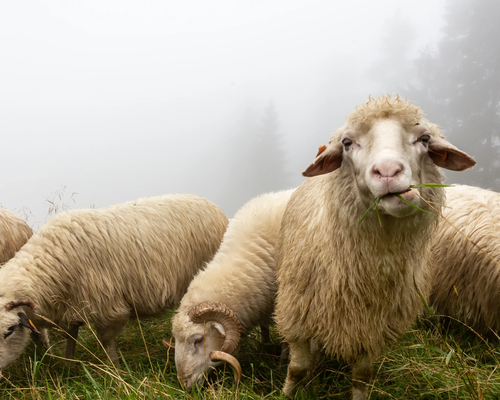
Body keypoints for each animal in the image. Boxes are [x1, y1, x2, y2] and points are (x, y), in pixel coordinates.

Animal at [0, 194, 227, 376]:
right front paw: (69, 366)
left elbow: (106, 341)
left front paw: (115, 370)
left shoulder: (110, 310)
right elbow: (71, 337)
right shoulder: (71, 308)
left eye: (9, 330)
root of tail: (214, 207)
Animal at [274, 95, 476, 398]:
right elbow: (297, 368)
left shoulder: (371, 327)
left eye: (425, 139)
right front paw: (287, 393)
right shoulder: (296, 312)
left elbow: (363, 376)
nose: (388, 172)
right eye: (347, 143)